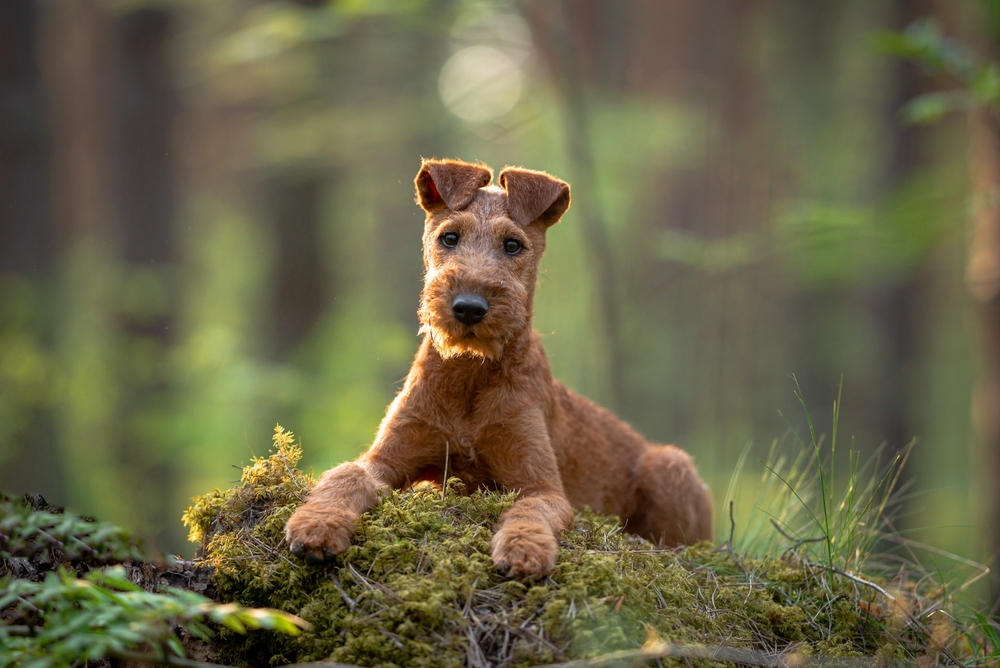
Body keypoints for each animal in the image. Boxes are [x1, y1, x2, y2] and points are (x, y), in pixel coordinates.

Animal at [286, 158, 716, 580]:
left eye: (513, 245)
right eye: (449, 238)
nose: (469, 307)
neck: (469, 375)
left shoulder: (541, 485)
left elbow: (529, 510)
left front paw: (524, 549)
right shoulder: (386, 459)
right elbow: (345, 475)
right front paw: (316, 524)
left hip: (670, 465)